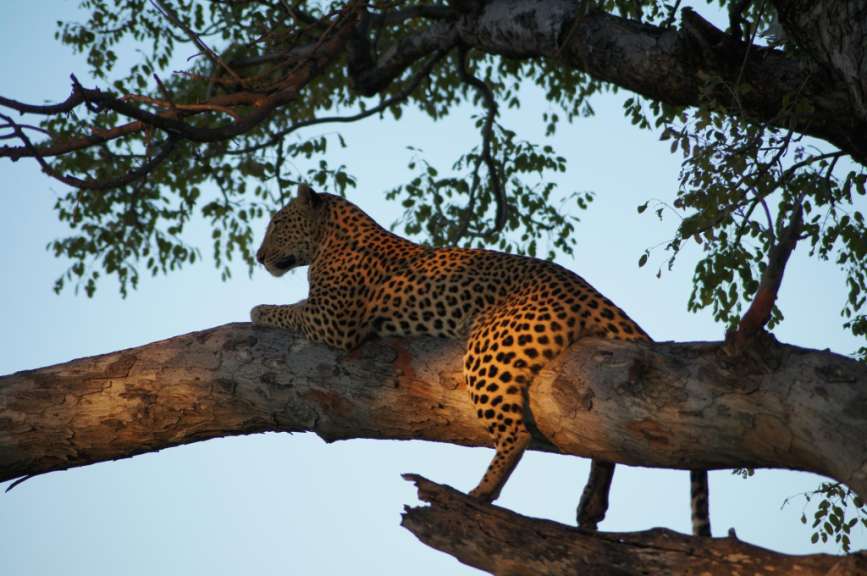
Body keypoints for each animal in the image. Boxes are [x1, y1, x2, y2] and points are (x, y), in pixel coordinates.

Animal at [252, 184, 711, 536]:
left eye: (276, 223)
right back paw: (590, 504)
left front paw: (258, 310)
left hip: (489, 349)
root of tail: (586, 290)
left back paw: (479, 494)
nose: (257, 256)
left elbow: (286, 310)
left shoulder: (331, 321)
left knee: (516, 433)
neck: (329, 238)